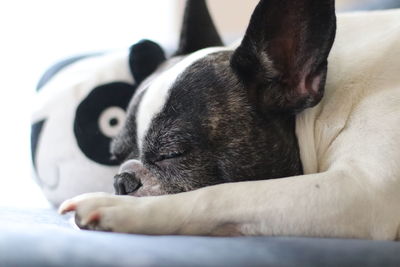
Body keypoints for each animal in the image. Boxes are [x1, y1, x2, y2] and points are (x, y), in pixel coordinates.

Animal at [59, 0, 400, 241]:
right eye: (116, 155)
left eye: (173, 154)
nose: (122, 180)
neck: (323, 110)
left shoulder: (359, 190)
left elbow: (216, 196)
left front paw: (121, 210)